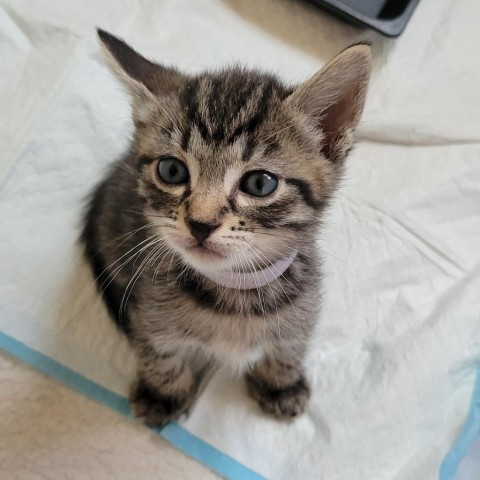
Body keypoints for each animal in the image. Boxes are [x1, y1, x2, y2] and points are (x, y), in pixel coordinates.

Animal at [83, 30, 372, 426]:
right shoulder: (147, 306)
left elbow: (290, 343)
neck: (234, 293)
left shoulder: (305, 302)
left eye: (260, 183)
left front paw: (280, 383)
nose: (200, 223)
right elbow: (158, 350)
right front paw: (163, 392)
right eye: (171, 171)